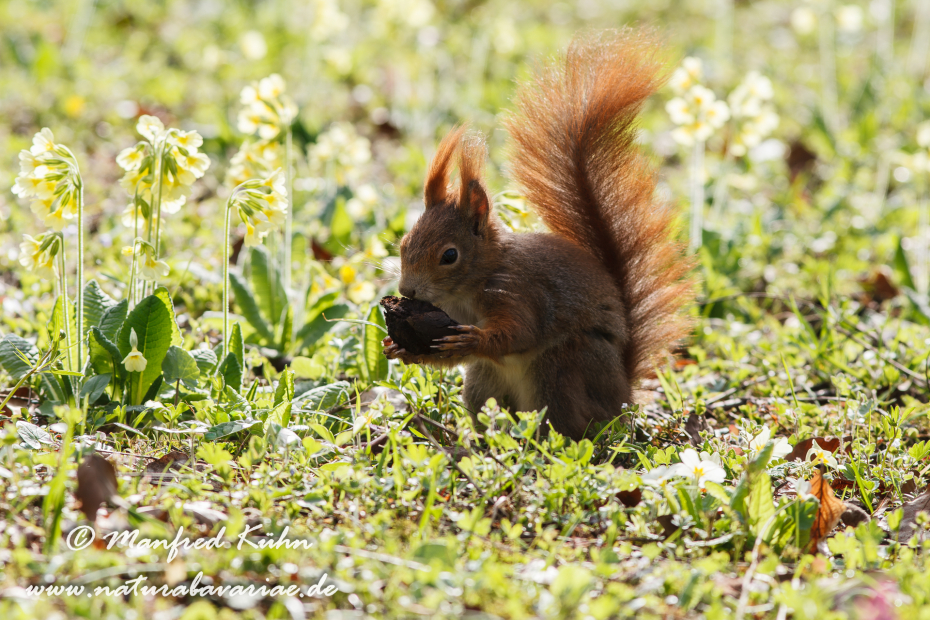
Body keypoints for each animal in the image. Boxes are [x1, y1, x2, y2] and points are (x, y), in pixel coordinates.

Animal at [382, 29, 695, 440]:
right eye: (404, 244)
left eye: (449, 255)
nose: (406, 291)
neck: (468, 290)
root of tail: (622, 395)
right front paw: (399, 348)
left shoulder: (519, 291)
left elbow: (519, 333)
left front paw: (475, 338)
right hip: (483, 382)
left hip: (562, 369)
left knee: (567, 424)